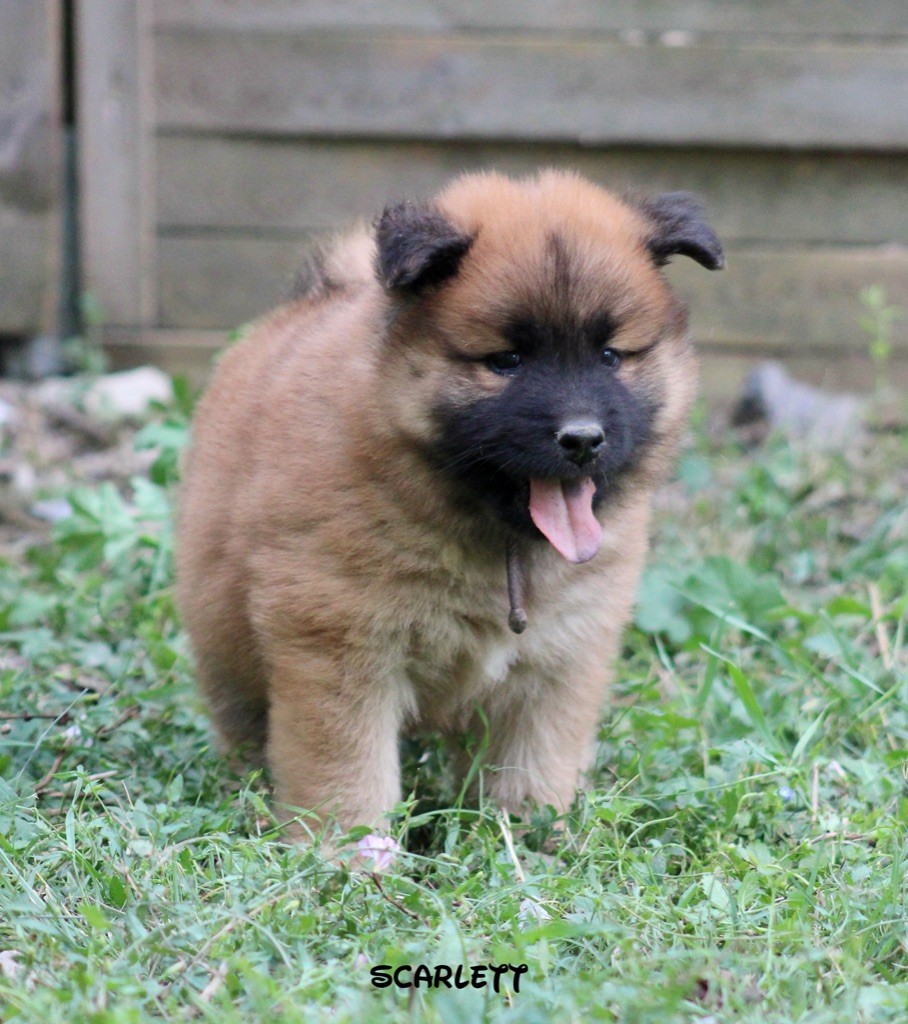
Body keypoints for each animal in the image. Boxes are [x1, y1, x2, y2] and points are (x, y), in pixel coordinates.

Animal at [177, 167, 724, 835]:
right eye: (506, 361)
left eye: (610, 356)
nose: (582, 439)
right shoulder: (339, 646)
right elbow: (345, 767)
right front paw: (347, 849)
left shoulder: (561, 656)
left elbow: (534, 759)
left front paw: (534, 833)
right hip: (222, 629)